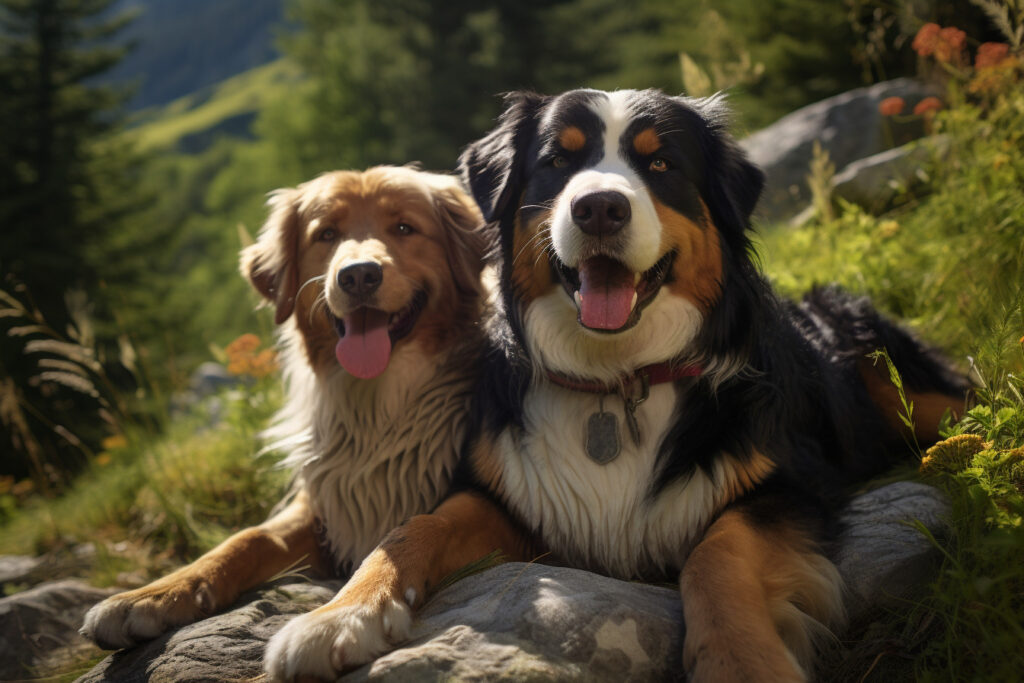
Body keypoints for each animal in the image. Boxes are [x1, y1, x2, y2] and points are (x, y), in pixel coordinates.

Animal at [79, 169, 487, 671]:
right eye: (326, 234)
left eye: (405, 228)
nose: (358, 275)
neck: (378, 406)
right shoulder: (323, 504)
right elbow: (247, 538)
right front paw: (152, 594)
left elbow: (414, 529)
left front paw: (343, 616)